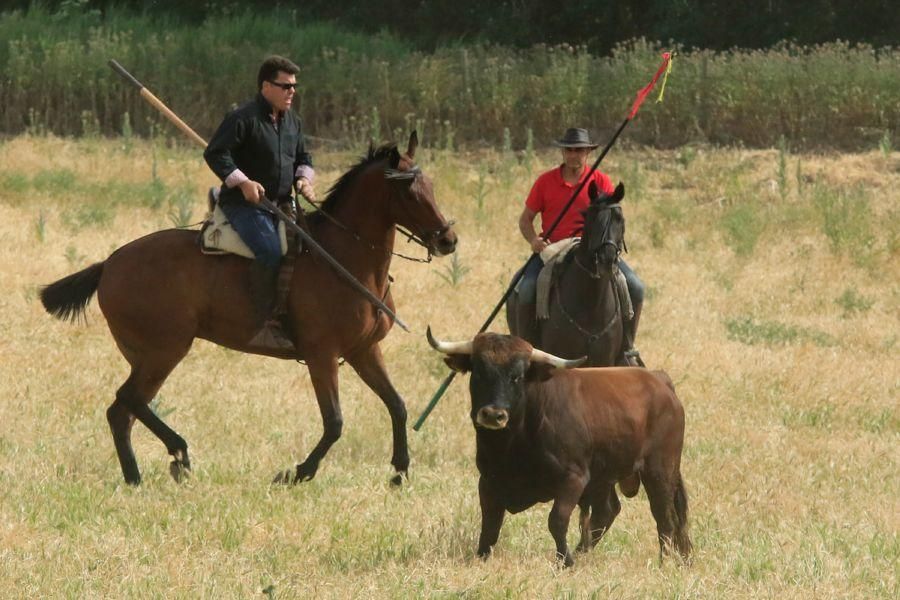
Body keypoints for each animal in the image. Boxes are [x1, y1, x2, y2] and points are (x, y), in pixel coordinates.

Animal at [40, 132, 458, 488]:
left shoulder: (364, 351)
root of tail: (109, 264)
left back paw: (137, 476)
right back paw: (179, 454)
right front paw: (296, 473)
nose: (448, 239)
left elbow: (397, 405)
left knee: (123, 410)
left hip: (147, 354)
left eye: (431, 186)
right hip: (165, 349)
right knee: (128, 399)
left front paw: (400, 472)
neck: (343, 259)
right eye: (408, 191)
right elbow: (335, 422)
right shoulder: (322, 355)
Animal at [428, 328, 688, 568]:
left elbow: (557, 520)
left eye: (517, 376)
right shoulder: (488, 481)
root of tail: (660, 381)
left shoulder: (573, 479)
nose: (493, 414)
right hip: (604, 476)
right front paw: (481, 556)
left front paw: (565, 561)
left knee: (665, 518)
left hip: (659, 471)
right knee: (607, 511)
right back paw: (584, 552)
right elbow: (490, 524)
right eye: (479, 372)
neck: (514, 444)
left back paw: (664, 561)